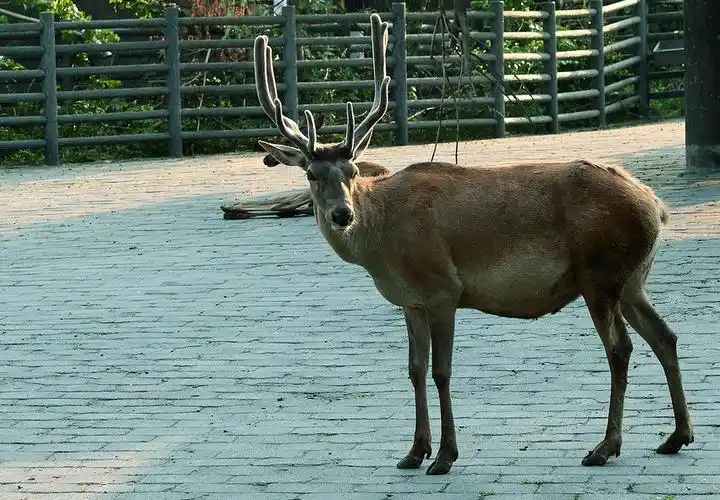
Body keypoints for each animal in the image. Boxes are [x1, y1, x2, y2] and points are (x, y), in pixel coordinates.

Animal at [250, 13, 694, 475]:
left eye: (353, 170)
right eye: (311, 174)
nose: (342, 214)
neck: (383, 246)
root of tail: (656, 206)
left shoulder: (443, 287)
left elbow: (441, 370)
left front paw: (445, 455)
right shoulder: (410, 300)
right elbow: (414, 369)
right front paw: (413, 451)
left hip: (599, 272)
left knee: (620, 347)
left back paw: (605, 446)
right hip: (632, 279)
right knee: (665, 336)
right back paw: (676, 436)